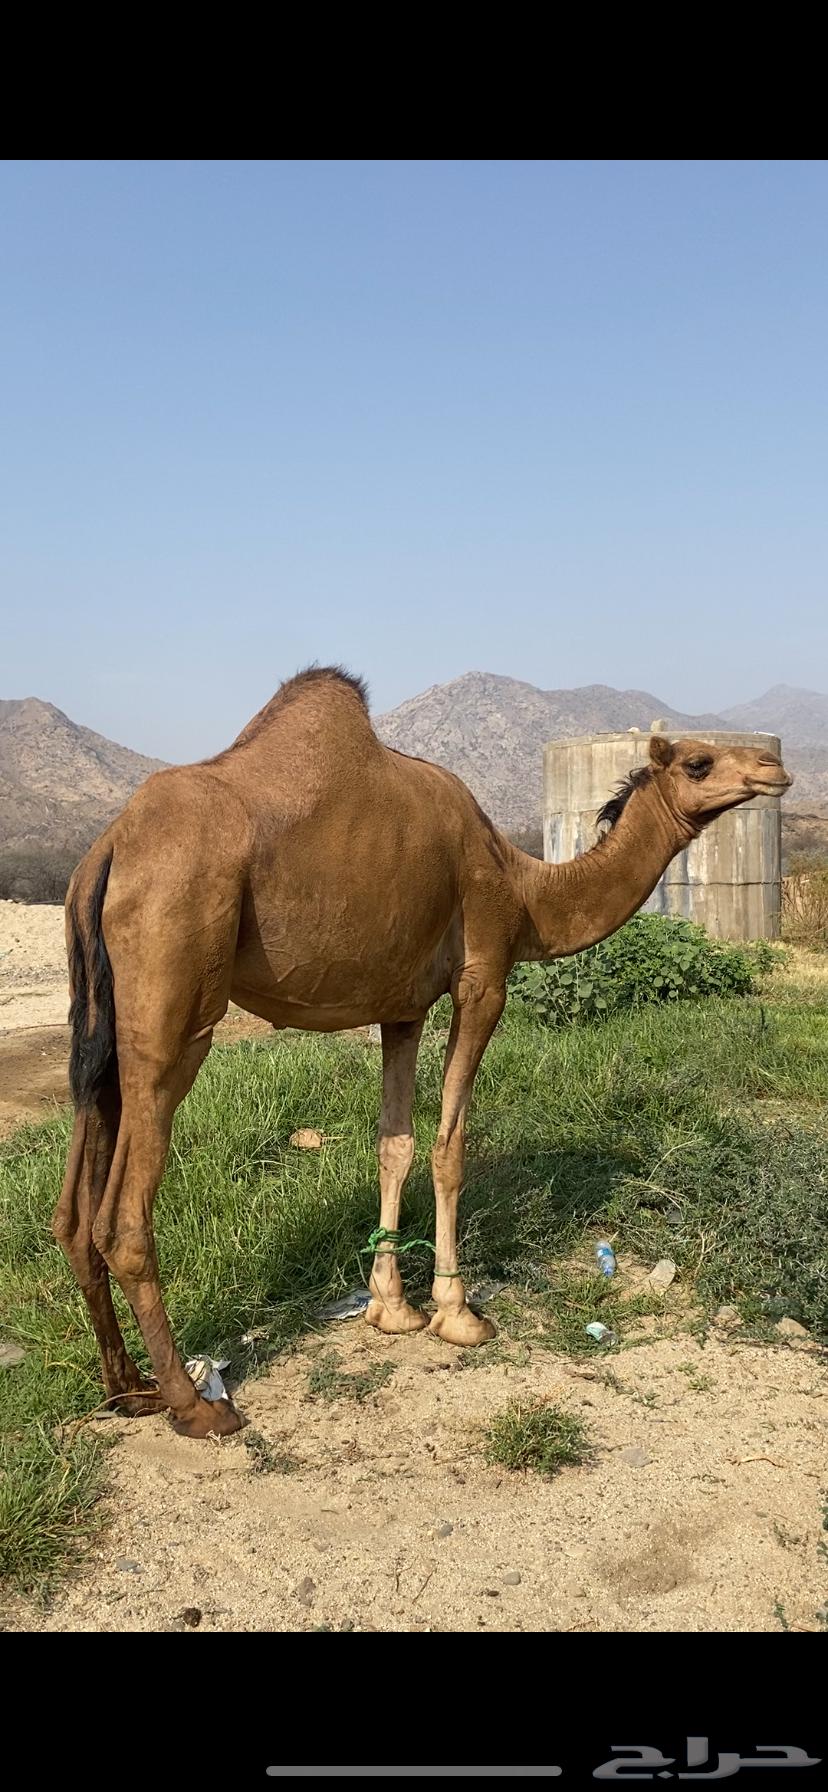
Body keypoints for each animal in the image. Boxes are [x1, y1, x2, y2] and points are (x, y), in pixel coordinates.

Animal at [53, 667, 791, 1438]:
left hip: (99, 1021)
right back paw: (194, 1406)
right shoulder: (483, 978)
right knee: (122, 1219)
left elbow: (395, 1143)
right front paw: (458, 1313)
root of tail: (106, 852)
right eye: (698, 762)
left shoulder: (402, 1006)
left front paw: (391, 1307)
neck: (525, 890)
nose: (774, 766)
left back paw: (127, 1389)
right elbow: (449, 1143)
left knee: (73, 1212)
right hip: (174, 1004)